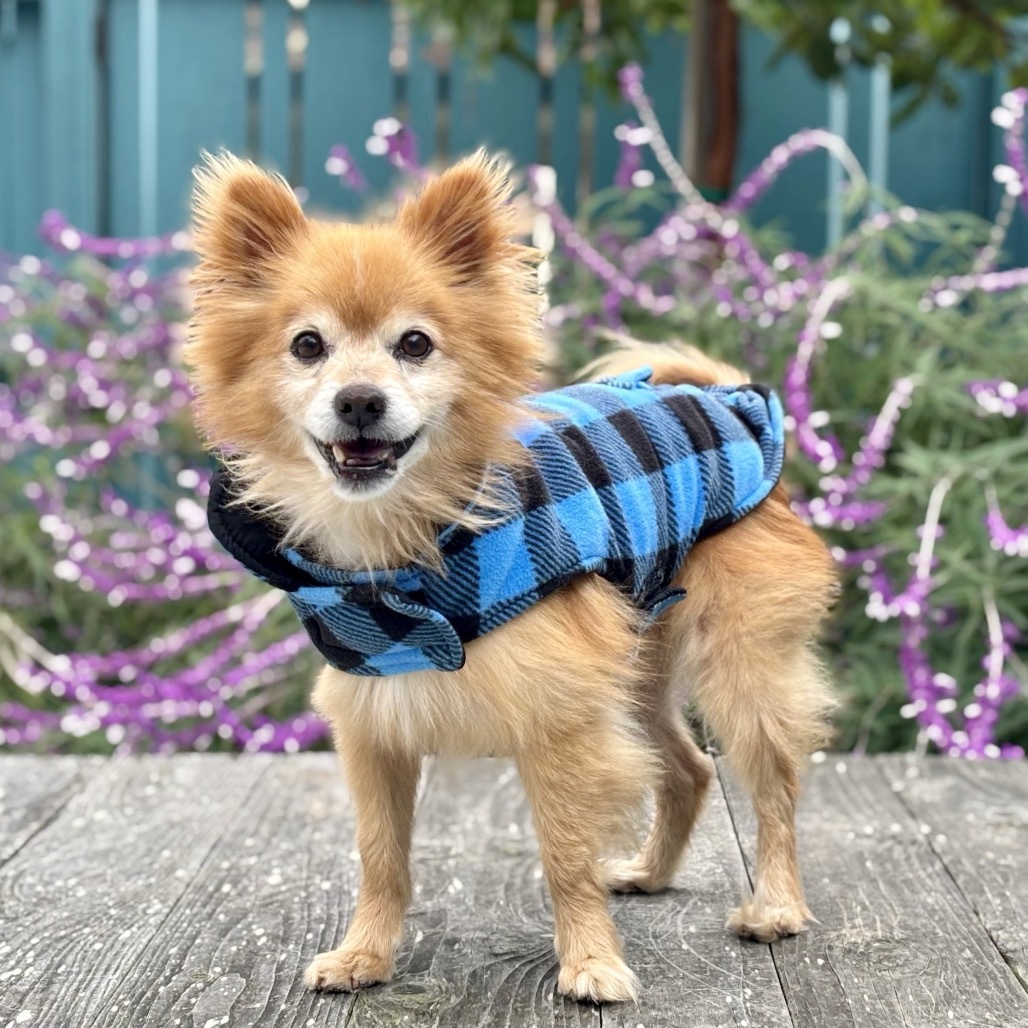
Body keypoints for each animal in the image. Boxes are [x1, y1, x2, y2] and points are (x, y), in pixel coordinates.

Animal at [187, 152, 834, 1003]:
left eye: (415, 344)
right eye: (306, 346)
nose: (359, 400)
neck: (410, 551)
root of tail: (722, 396)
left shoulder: (560, 717)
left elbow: (564, 855)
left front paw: (590, 961)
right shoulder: (374, 724)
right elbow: (380, 858)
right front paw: (365, 955)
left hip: (738, 670)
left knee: (775, 785)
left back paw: (777, 906)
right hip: (635, 665)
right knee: (691, 768)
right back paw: (651, 874)